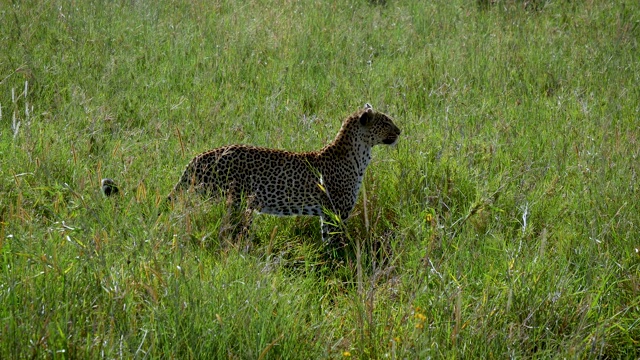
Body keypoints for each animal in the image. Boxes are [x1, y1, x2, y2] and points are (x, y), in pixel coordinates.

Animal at [168, 103, 402, 242]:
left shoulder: (327, 214)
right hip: (233, 202)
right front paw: (341, 262)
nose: (400, 131)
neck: (360, 154)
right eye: (386, 122)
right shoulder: (337, 212)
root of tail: (197, 158)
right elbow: (338, 242)